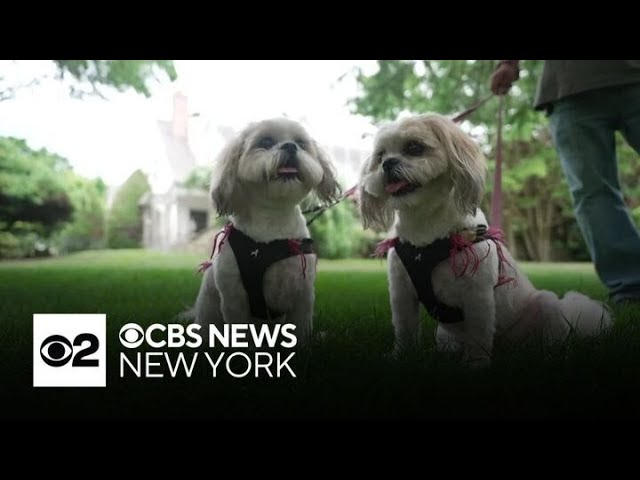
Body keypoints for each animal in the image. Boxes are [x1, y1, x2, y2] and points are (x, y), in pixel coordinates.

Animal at [194, 119, 340, 344]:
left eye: (302, 143)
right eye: (265, 142)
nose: (290, 146)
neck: (272, 221)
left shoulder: (303, 292)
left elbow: (299, 328)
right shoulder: (234, 296)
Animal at [358, 112, 612, 368]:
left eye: (414, 147)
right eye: (380, 156)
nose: (388, 163)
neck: (426, 232)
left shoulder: (477, 294)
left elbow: (479, 333)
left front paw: (476, 364)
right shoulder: (401, 292)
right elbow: (404, 330)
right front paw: (400, 356)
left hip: (547, 305)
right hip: (445, 335)